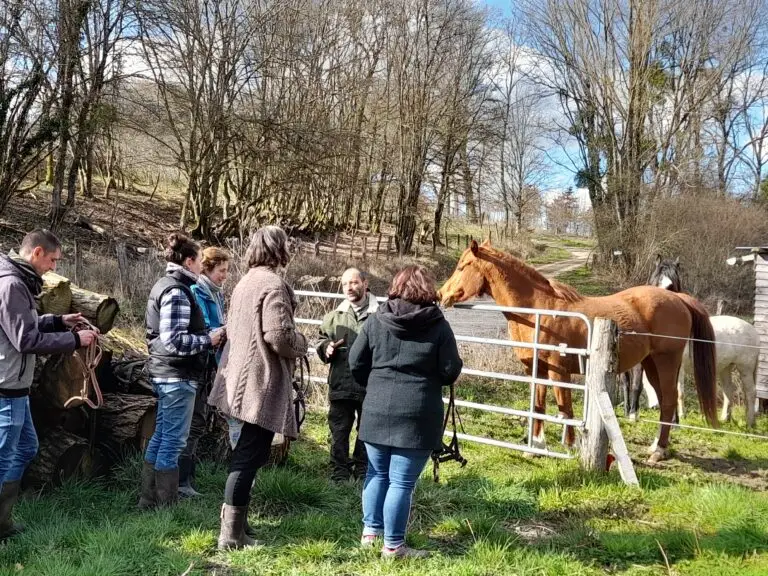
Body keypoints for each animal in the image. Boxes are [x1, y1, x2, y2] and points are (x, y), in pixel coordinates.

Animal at [440, 240, 716, 464]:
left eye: (463, 266)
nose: (441, 294)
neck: (540, 311)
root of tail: (678, 299)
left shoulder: (558, 371)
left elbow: (565, 409)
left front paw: (569, 447)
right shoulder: (537, 369)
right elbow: (538, 406)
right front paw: (535, 448)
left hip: (666, 362)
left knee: (668, 401)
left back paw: (658, 451)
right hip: (650, 364)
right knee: (665, 402)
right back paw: (659, 447)